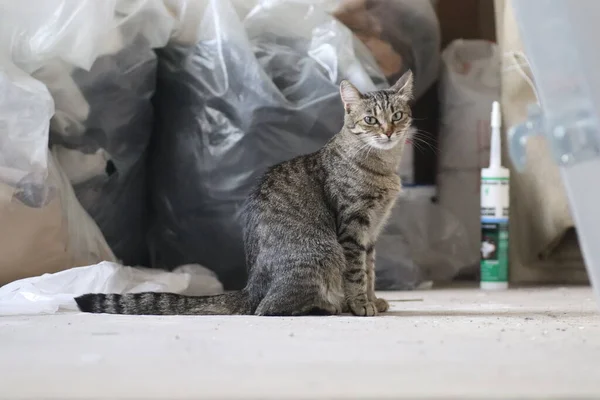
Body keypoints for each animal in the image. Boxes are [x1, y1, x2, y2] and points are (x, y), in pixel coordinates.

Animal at [74, 70, 412, 318]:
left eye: (397, 116)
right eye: (370, 120)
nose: (388, 132)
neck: (383, 167)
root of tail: (251, 288)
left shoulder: (372, 233)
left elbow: (369, 271)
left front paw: (373, 299)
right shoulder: (353, 229)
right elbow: (356, 274)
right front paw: (359, 304)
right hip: (325, 252)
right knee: (269, 309)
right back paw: (330, 305)